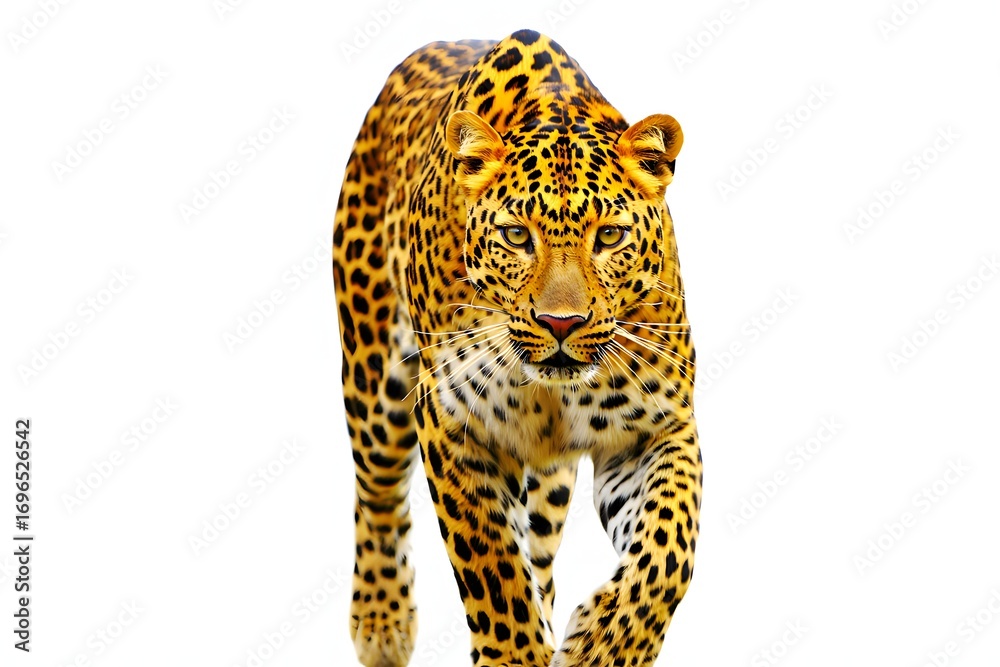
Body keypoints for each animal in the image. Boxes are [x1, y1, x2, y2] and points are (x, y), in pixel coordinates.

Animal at [333, 29, 701, 667]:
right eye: (515, 236)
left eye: (609, 236)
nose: (561, 323)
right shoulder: (454, 422)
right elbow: (493, 567)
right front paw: (515, 654)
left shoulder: (656, 427)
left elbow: (668, 548)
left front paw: (605, 645)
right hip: (374, 377)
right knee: (377, 494)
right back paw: (382, 621)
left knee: (542, 552)